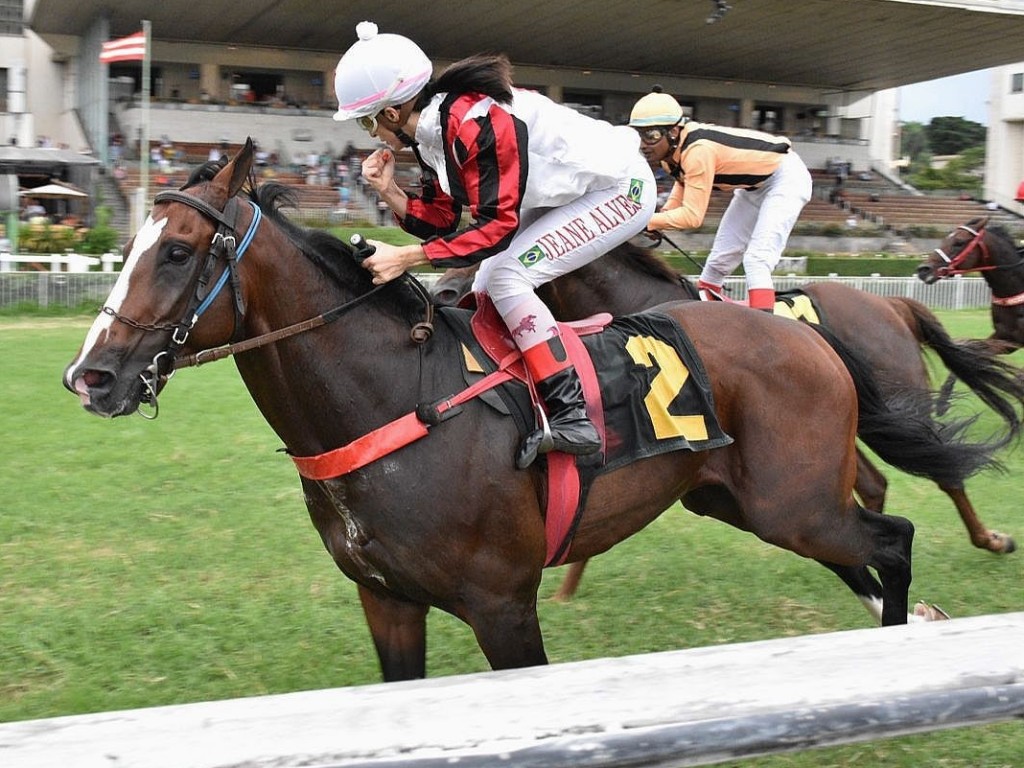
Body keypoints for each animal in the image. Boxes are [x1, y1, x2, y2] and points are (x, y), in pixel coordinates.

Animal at [61, 141, 991, 684]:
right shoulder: (387, 601)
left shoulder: (502, 603)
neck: (393, 396)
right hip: (734, 497)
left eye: (178, 252)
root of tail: (801, 331)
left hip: (791, 502)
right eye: (131, 246)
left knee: (891, 535)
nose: (90, 377)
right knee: (869, 538)